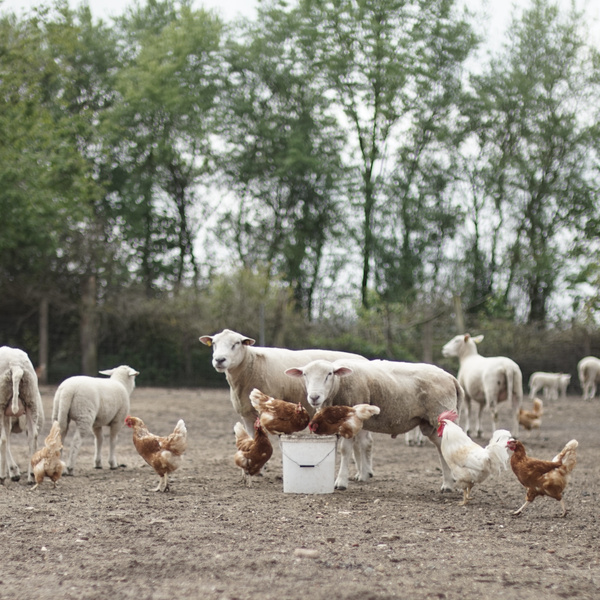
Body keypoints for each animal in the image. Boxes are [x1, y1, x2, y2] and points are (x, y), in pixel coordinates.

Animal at [0, 346, 45, 484]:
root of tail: (16, 366)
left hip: (1, 401)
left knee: (3, 439)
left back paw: (2, 477)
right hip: (31, 399)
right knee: (32, 437)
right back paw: (31, 476)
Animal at [285, 358, 464, 491]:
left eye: (329, 373)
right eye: (305, 374)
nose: (314, 397)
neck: (338, 386)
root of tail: (451, 378)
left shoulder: (350, 419)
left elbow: (345, 450)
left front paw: (341, 482)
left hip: (442, 415)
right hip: (430, 424)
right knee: (441, 447)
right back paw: (448, 484)